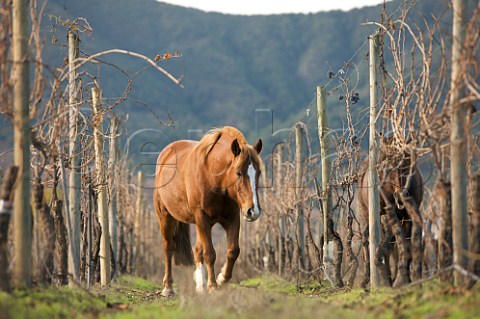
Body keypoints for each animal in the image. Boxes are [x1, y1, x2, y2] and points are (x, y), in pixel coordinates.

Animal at [154, 126, 262, 296]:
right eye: (238, 172)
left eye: (258, 173)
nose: (253, 211)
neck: (213, 177)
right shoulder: (202, 218)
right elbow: (210, 253)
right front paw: (212, 286)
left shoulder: (231, 218)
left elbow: (233, 251)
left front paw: (222, 279)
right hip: (166, 216)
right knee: (168, 248)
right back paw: (168, 287)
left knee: (197, 250)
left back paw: (200, 285)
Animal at [356, 146, 424, 288]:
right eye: (390, 170)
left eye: (406, 167)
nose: (401, 196)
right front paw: (394, 280)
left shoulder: (406, 217)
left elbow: (403, 245)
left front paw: (403, 279)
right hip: (371, 214)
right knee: (372, 240)